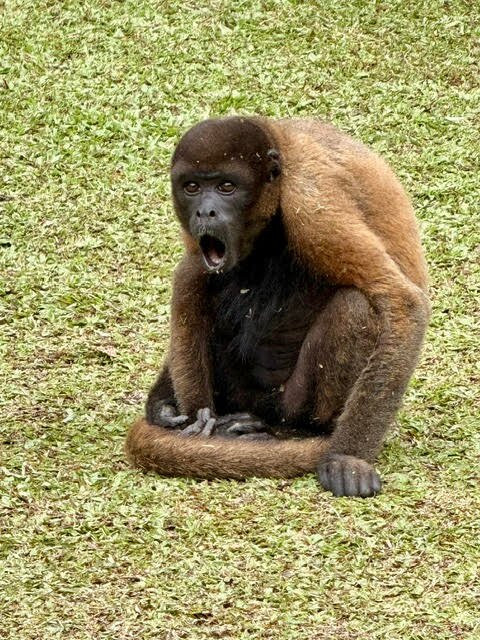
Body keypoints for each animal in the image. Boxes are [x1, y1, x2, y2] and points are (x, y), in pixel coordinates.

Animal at [125, 116, 429, 497]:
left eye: (227, 187)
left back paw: (293, 432)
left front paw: (346, 458)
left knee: (355, 307)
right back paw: (205, 427)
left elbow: (401, 302)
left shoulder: (312, 203)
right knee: (191, 274)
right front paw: (161, 406)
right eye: (192, 187)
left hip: (286, 402)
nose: (205, 211)